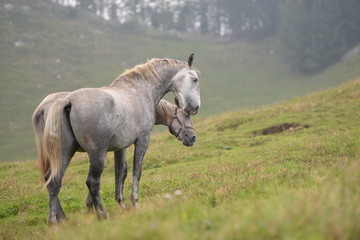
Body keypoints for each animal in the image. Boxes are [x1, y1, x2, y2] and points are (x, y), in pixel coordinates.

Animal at [32, 54, 201, 223]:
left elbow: (120, 171)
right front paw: (134, 204)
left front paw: (120, 204)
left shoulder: (119, 147)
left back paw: (56, 221)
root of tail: (67, 101)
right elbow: (135, 172)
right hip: (96, 153)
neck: (140, 91)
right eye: (194, 79)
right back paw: (101, 215)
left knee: (53, 181)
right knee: (92, 181)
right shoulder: (142, 141)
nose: (192, 137)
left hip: (64, 153)